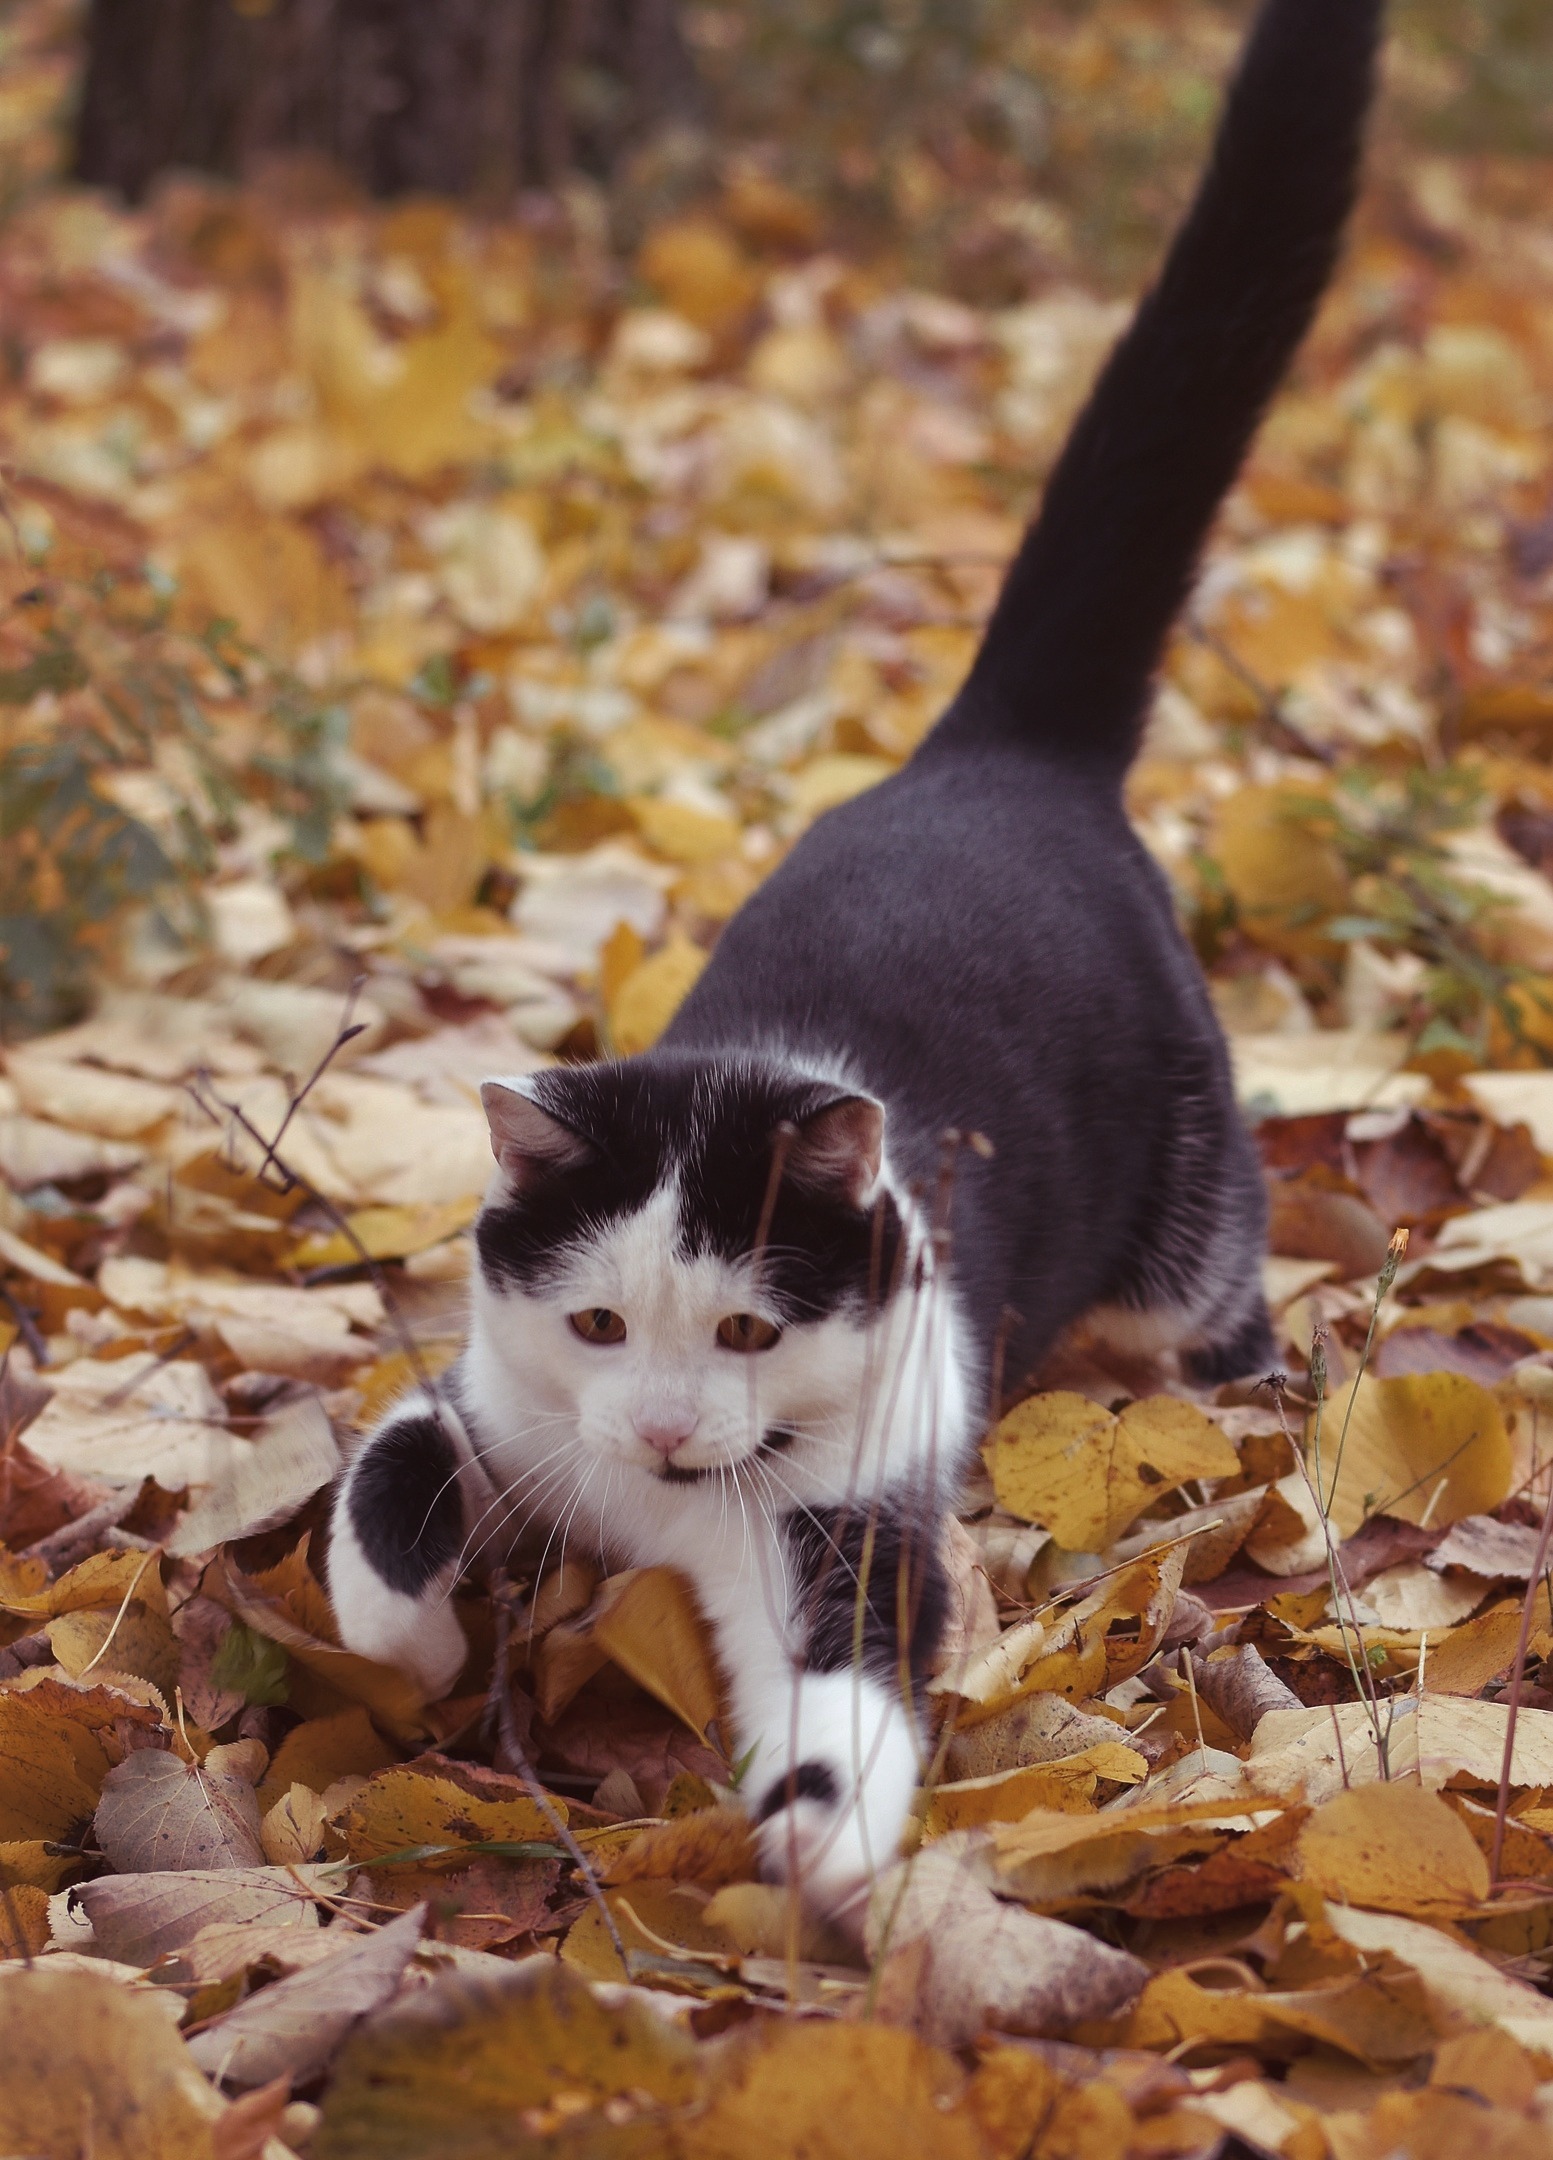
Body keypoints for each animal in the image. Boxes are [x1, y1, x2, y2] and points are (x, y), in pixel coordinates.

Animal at [328, 0, 1382, 1926]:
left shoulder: (860, 1506)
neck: (666, 1516)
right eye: (598, 1322)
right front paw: (412, 1637)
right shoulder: (500, 1398)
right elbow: (388, 1457)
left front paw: (822, 1827)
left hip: (1186, 1212)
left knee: (1216, 1299)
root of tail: (999, 748)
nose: (669, 1436)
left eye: (748, 1327)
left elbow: (857, 1663)